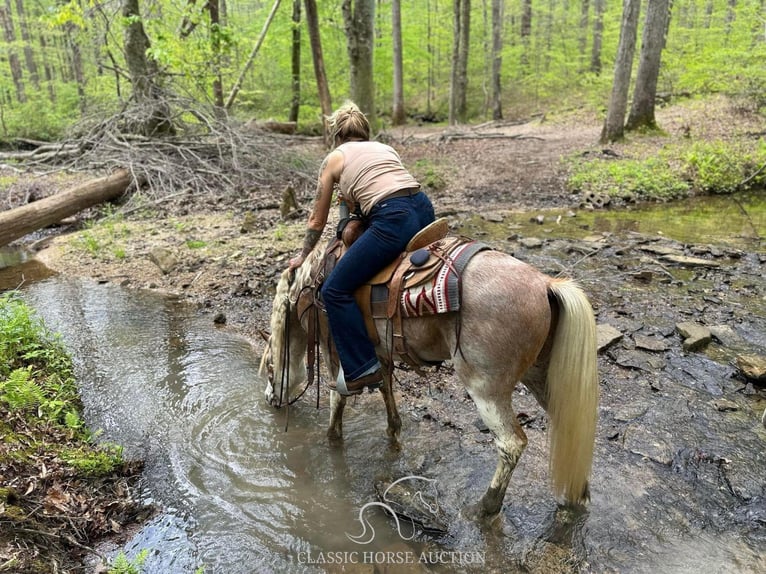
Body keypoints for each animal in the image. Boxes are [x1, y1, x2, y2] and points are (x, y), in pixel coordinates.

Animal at [260, 236, 604, 520]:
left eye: (269, 367)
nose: (269, 399)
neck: (310, 282)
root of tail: (545, 284)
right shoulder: (379, 354)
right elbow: (386, 390)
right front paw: (393, 436)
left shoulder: (335, 351)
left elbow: (337, 399)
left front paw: (332, 440)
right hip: (540, 377)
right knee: (569, 422)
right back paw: (576, 495)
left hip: (486, 388)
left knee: (511, 444)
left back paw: (485, 508)